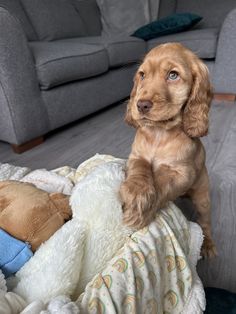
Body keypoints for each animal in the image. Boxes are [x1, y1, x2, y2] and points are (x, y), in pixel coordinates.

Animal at [121, 42, 217, 258]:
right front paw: (136, 194)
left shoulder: (183, 173)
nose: (141, 105)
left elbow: (162, 183)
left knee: (205, 222)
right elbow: (140, 170)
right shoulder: (136, 156)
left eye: (173, 75)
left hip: (203, 198)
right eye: (142, 75)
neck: (159, 133)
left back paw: (208, 245)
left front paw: (139, 211)